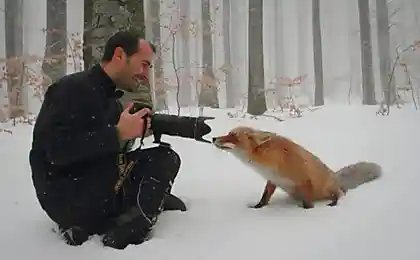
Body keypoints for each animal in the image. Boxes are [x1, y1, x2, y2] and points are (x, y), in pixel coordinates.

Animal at [213, 126, 380, 209]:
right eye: (228, 133)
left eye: (233, 136)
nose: (214, 138)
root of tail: (336, 176)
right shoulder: (272, 179)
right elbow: (264, 197)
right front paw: (257, 208)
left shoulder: (305, 179)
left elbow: (308, 203)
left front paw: (306, 211)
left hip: (329, 189)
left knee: (340, 194)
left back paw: (334, 203)